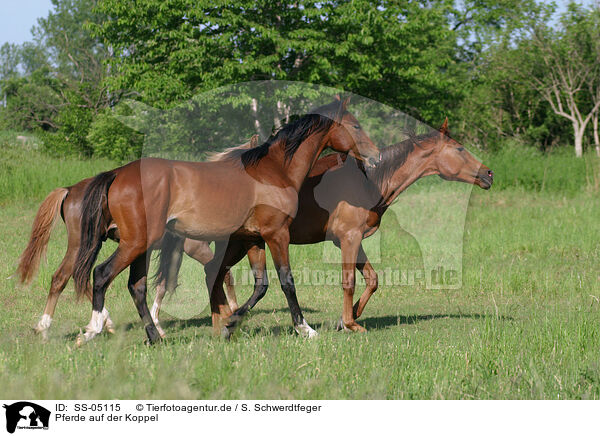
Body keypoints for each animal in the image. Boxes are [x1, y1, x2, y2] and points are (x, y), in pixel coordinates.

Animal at [71, 98, 380, 344]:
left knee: (137, 287)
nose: (376, 156)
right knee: (102, 274)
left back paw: (154, 337)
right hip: (136, 242)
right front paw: (305, 329)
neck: (275, 171)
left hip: (142, 247)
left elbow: (261, 286)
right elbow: (286, 282)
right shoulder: (277, 235)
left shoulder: (254, 239)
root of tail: (118, 174)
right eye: (355, 127)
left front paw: (230, 324)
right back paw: (92, 330)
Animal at [157, 117, 494, 336]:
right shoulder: (348, 239)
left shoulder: (352, 240)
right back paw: (225, 321)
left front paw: (350, 316)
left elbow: (372, 280)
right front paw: (349, 322)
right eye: (460, 149)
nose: (489, 173)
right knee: (215, 274)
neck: (369, 180)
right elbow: (350, 281)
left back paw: (224, 323)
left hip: (241, 242)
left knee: (213, 274)